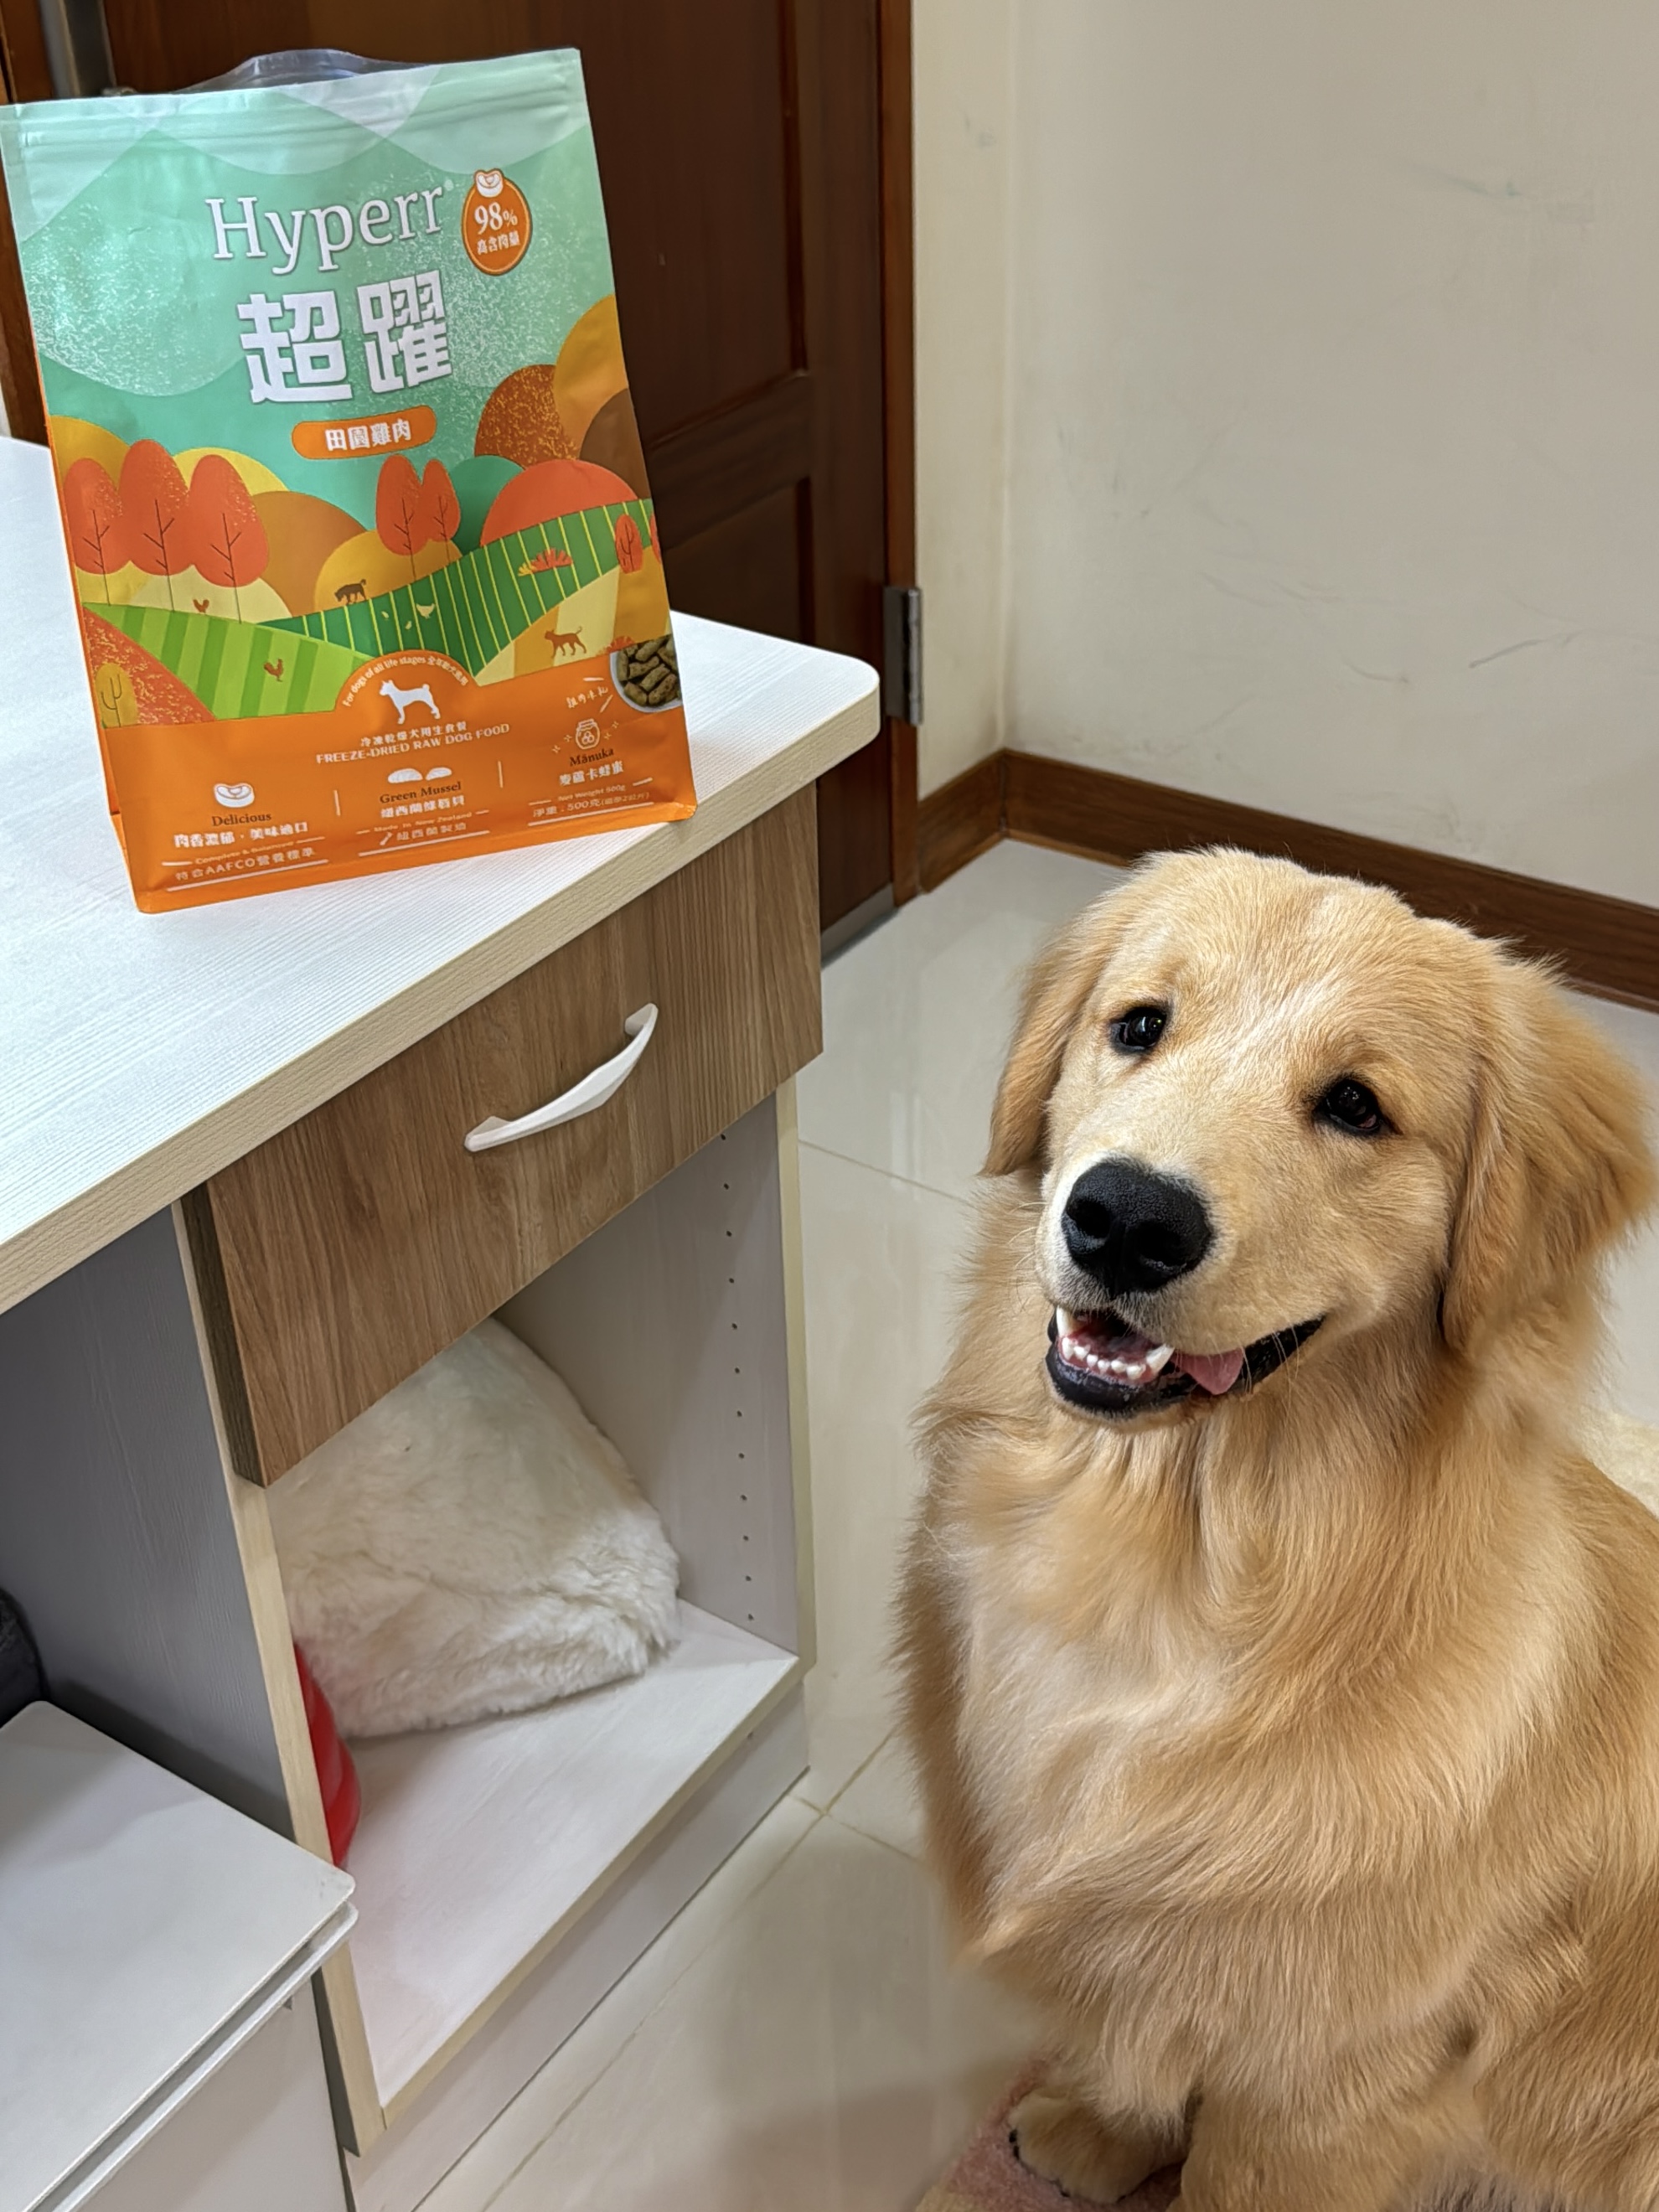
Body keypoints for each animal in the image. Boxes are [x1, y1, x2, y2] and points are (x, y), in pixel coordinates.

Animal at [898, 849, 1658, 2211]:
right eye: (1139, 1026)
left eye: (1355, 1106)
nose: (1123, 1218)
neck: (1177, 1557)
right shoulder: (1157, 1960)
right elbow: (1135, 2043)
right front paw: (1102, 2134)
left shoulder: (1332, 2087)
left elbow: (1231, 2172)